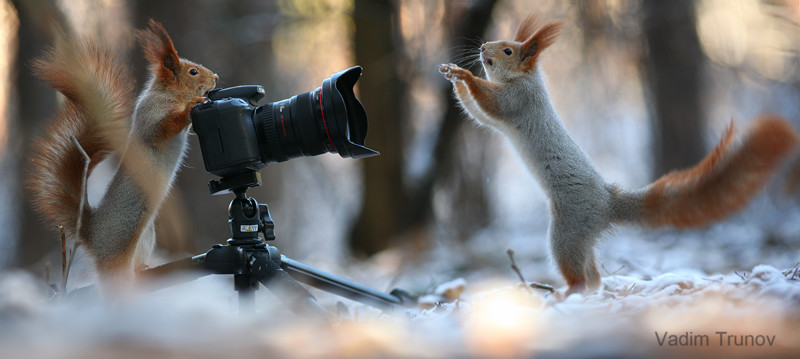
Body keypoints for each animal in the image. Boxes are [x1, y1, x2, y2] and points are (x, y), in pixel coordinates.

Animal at [30, 19, 217, 294]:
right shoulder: (153, 116)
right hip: (117, 254)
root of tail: (92, 234)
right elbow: (164, 128)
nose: (216, 77)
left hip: (145, 238)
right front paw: (192, 107)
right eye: (193, 72)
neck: (169, 94)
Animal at [438, 14, 800, 296]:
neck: (525, 78)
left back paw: (565, 294)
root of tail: (607, 203)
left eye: (508, 50)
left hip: (567, 231)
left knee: (579, 273)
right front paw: (452, 73)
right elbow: (478, 113)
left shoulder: (517, 101)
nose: (482, 48)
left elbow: (490, 105)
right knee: (593, 274)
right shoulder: (499, 116)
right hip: (581, 237)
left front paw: (465, 75)